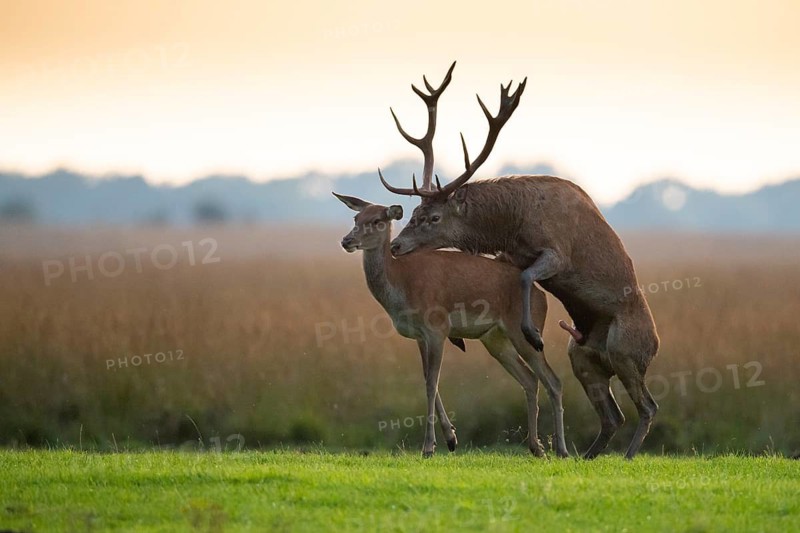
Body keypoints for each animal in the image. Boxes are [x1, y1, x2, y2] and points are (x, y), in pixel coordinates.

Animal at [333, 191, 569, 459]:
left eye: (376, 221)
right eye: (356, 217)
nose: (347, 241)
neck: (401, 284)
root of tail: (543, 297)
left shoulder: (437, 328)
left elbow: (432, 382)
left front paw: (428, 446)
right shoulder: (419, 336)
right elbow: (427, 379)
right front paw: (450, 439)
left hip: (525, 333)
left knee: (553, 380)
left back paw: (561, 449)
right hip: (495, 339)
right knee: (530, 379)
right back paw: (536, 447)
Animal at [379, 62, 660, 459]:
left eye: (433, 218)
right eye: (414, 212)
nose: (396, 246)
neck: (513, 222)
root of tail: (655, 344)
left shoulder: (557, 251)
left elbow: (527, 277)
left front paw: (531, 331)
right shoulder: (509, 253)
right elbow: (515, 275)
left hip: (626, 350)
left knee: (648, 406)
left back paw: (625, 454)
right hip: (583, 356)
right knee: (613, 415)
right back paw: (586, 454)